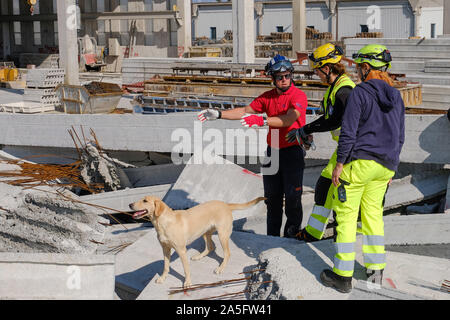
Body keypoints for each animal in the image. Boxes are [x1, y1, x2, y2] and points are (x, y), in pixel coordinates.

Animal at [128, 195, 266, 288]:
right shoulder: (165, 249)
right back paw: (199, 256)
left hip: (222, 235)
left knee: (227, 253)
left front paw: (188, 282)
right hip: (205, 232)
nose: (130, 205)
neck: (162, 222)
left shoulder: (181, 250)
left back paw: (221, 268)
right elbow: (166, 266)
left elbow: (186, 269)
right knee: (210, 247)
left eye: (145, 201)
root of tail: (225, 204)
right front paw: (162, 278)